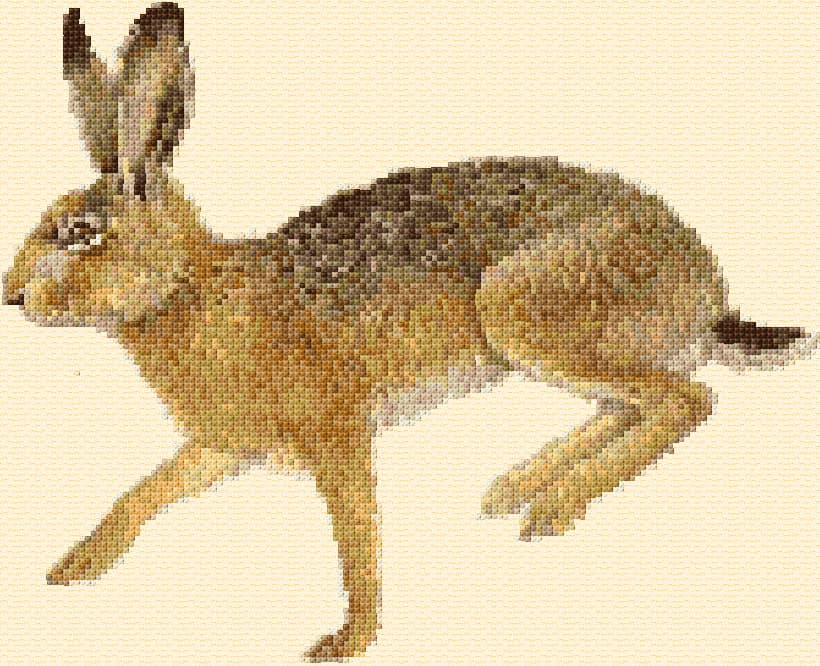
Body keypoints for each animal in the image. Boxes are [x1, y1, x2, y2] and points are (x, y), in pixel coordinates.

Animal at [3, 3, 817, 661]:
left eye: (80, 234)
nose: (11, 296)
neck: (186, 288)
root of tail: (706, 291)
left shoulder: (334, 431)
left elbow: (356, 537)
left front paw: (349, 640)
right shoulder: (224, 444)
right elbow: (143, 492)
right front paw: (75, 567)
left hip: (526, 312)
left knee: (684, 400)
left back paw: (553, 507)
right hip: (548, 345)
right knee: (631, 403)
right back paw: (516, 489)